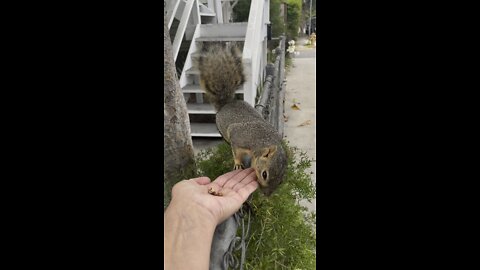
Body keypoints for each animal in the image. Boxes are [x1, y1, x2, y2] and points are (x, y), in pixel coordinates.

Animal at [197, 44, 286, 196]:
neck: (263, 141)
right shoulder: (238, 138)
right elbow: (236, 152)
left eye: (281, 180)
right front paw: (238, 163)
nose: (266, 195)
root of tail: (226, 104)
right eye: (264, 174)